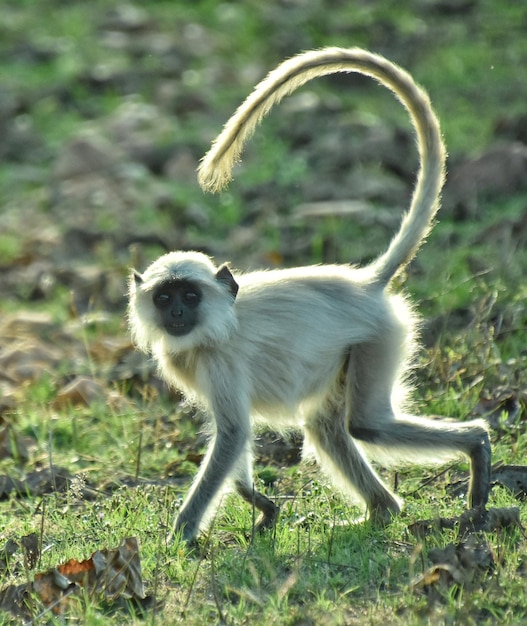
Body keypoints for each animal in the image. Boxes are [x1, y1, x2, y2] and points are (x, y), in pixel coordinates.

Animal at [128, 47, 490, 540]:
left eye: (190, 296)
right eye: (165, 298)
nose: (177, 315)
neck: (219, 319)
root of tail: (365, 283)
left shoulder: (219, 361)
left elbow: (233, 436)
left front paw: (181, 536)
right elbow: (235, 445)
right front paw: (261, 506)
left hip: (380, 337)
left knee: (366, 424)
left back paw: (477, 446)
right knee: (328, 428)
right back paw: (383, 510)